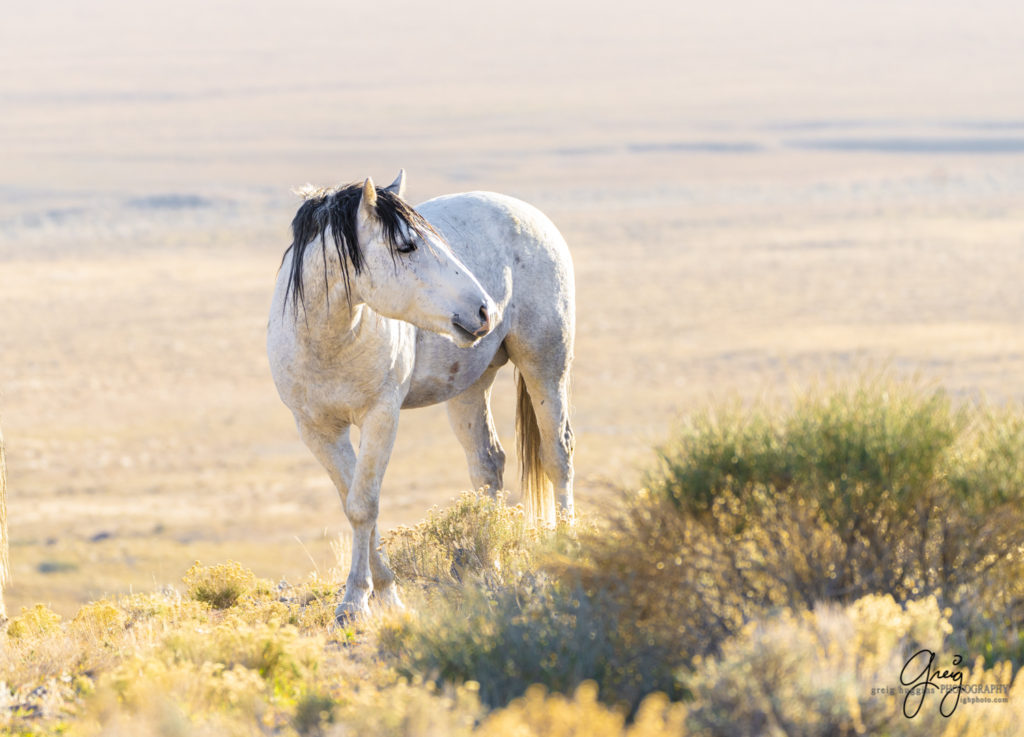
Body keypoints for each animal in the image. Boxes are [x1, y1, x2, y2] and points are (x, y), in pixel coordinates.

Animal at [268, 170, 577, 614]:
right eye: (407, 245)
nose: (486, 310)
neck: (328, 342)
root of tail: (533, 216)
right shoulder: (317, 430)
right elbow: (353, 502)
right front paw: (384, 594)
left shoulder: (381, 417)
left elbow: (364, 506)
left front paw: (355, 602)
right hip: (469, 388)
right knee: (487, 464)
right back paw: (488, 567)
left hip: (546, 366)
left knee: (557, 456)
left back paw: (565, 550)